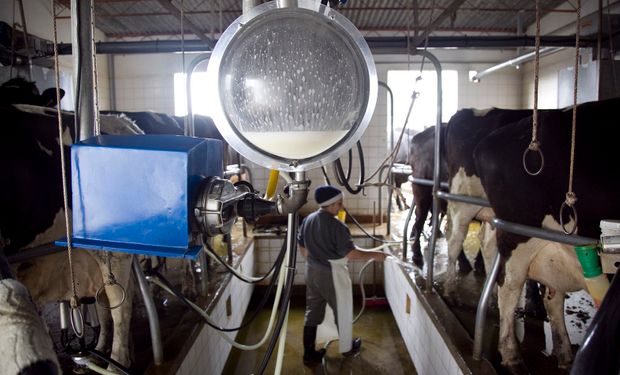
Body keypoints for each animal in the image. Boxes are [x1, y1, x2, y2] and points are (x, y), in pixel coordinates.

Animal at [0, 101, 143, 368]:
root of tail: (123, 122)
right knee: (106, 301)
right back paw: (100, 349)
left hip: (113, 251)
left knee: (120, 305)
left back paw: (116, 362)